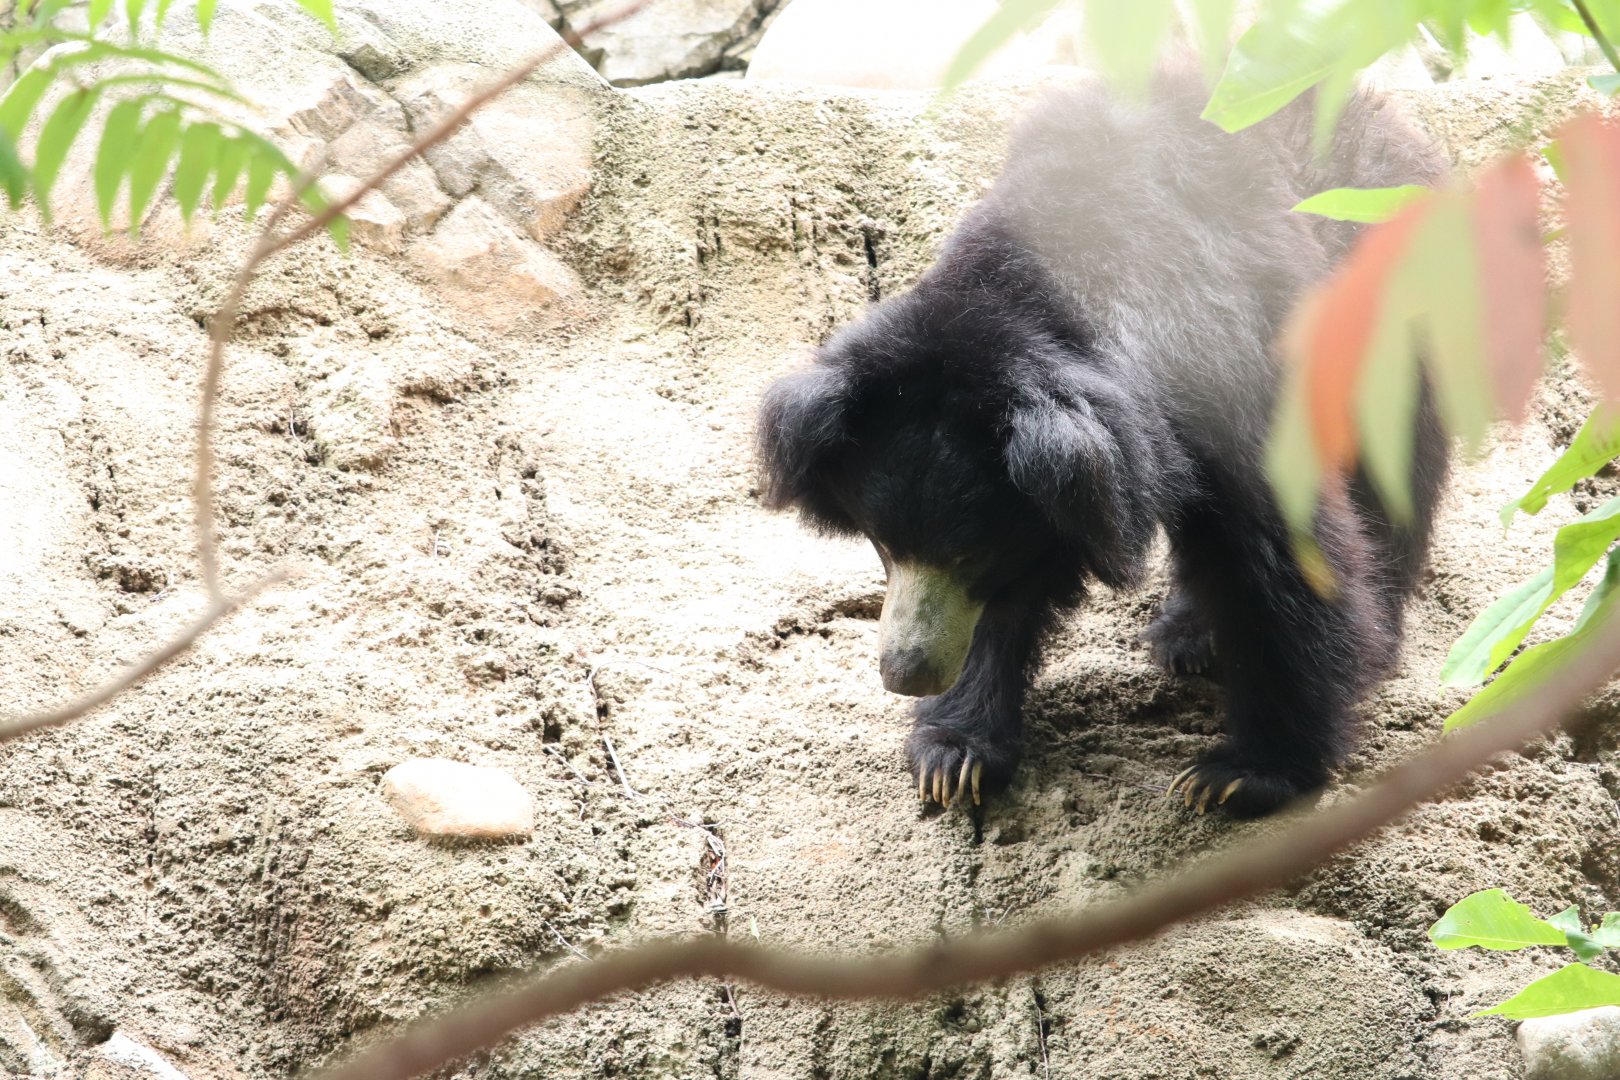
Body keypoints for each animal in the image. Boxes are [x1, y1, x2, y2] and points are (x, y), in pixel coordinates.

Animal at [755, 70, 1450, 818]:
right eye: (884, 545)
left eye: (970, 551)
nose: (903, 672)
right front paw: (953, 756)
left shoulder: (1221, 365)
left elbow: (1280, 553)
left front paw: (1240, 774)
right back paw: (1190, 637)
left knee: (1392, 474)